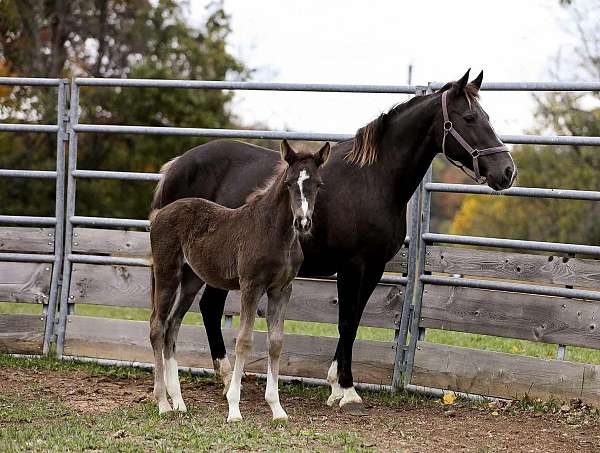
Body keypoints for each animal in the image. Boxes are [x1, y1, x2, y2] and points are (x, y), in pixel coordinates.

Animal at [148, 139, 330, 420]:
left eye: (318, 184)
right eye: (289, 183)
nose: (302, 223)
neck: (275, 232)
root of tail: (160, 213)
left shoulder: (281, 289)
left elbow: (276, 342)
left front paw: (277, 408)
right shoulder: (250, 286)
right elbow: (244, 341)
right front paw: (234, 408)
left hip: (191, 280)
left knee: (172, 325)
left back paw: (178, 401)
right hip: (167, 273)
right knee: (157, 326)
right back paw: (163, 403)